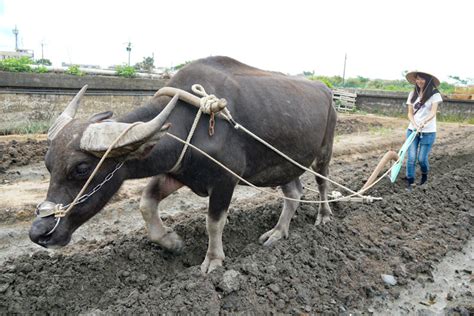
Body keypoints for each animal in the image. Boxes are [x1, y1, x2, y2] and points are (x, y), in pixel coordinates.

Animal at [29, 56, 336, 272]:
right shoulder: (177, 172)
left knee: (321, 185)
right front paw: (172, 242)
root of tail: (326, 91)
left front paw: (213, 261)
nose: (38, 233)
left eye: (80, 168)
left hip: (324, 153)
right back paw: (278, 233)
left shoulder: (225, 181)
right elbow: (146, 202)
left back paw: (324, 217)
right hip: (286, 163)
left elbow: (214, 222)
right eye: (48, 165)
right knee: (294, 193)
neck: (193, 123)